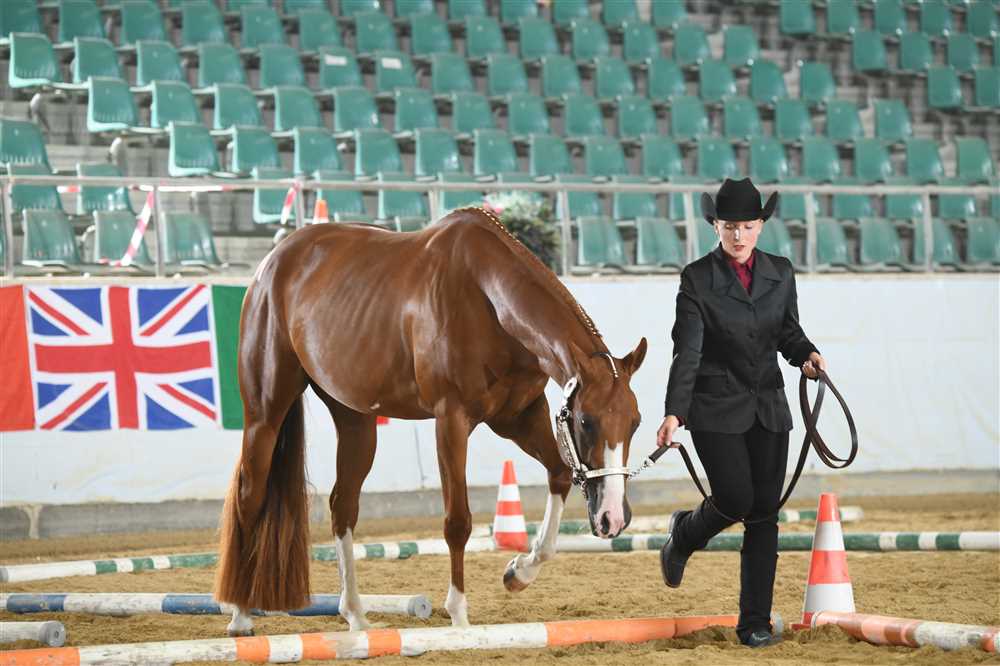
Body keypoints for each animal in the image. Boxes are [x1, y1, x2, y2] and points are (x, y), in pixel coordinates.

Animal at [214, 206, 648, 636]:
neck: (485, 298)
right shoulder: (451, 420)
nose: (613, 517)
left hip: (355, 420)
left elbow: (559, 473)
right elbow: (458, 520)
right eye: (587, 421)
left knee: (343, 506)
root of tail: (273, 261)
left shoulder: (519, 416)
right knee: (250, 496)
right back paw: (240, 613)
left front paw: (519, 571)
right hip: (265, 413)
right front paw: (459, 615)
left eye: (636, 422)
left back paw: (355, 614)